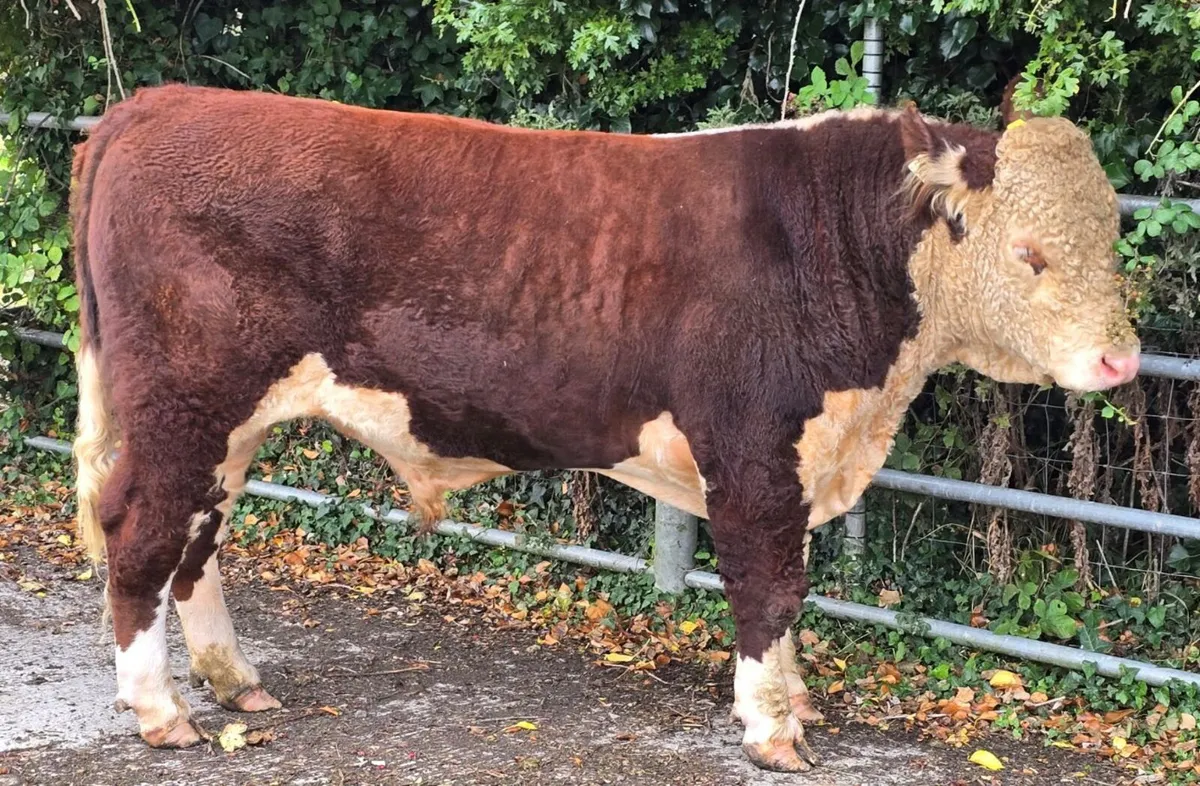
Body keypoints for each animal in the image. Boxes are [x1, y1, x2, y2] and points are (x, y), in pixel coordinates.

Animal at [69, 84, 1139, 773]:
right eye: (1031, 253)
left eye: (1114, 235)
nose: (1123, 361)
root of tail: (154, 103)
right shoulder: (752, 451)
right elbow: (770, 586)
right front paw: (773, 729)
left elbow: (789, 593)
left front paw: (793, 699)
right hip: (183, 402)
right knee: (142, 530)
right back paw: (160, 710)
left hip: (225, 421)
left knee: (200, 538)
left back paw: (233, 680)